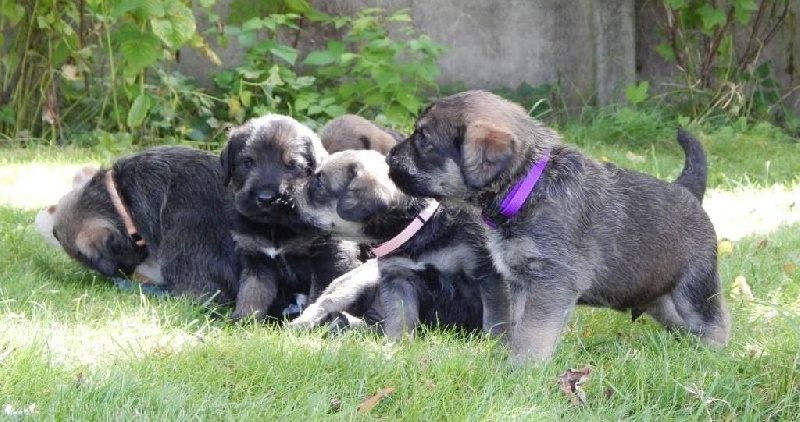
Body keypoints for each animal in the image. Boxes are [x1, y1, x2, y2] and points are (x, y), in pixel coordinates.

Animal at [222, 113, 366, 322]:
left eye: (292, 166)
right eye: (247, 162)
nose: (265, 198)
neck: (276, 226)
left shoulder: (329, 256)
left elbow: (320, 293)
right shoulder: (256, 257)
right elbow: (252, 292)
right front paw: (243, 320)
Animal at [290, 149, 512, 340]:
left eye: (319, 183)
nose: (289, 194)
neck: (418, 227)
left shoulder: (486, 274)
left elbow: (495, 319)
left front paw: (495, 346)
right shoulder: (398, 277)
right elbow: (400, 319)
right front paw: (396, 347)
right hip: (357, 283)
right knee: (322, 305)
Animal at [388, 90, 732, 364]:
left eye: (423, 139)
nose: (390, 158)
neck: (526, 185)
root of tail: (688, 191)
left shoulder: (551, 282)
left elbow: (533, 331)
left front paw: (522, 369)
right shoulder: (521, 282)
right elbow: (516, 325)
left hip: (694, 288)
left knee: (715, 322)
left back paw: (714, 356)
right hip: (658, 294)